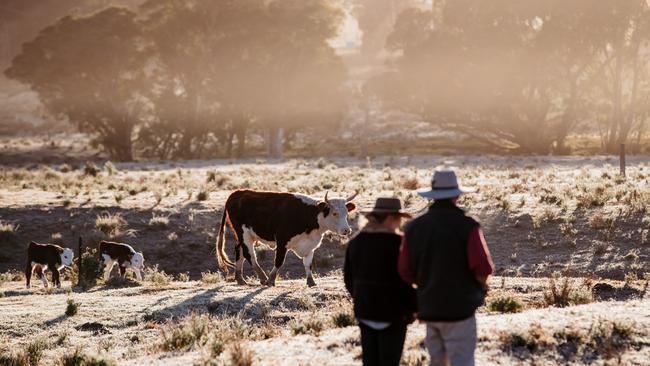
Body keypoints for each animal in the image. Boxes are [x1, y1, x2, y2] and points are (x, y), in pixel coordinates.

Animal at [215, 190, 356, 288]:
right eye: (334, 213)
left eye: (346, 213)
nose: (346, 230)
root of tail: (237, 193)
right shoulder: (282, 242)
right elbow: (279, 261)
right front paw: (271, 280)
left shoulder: (310, 245)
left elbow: (308, 264)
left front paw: (311, 281)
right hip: (244, 233)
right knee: (249, 255)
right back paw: (262, 277)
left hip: (244, 235)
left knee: (239, 251)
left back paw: (240, 279)